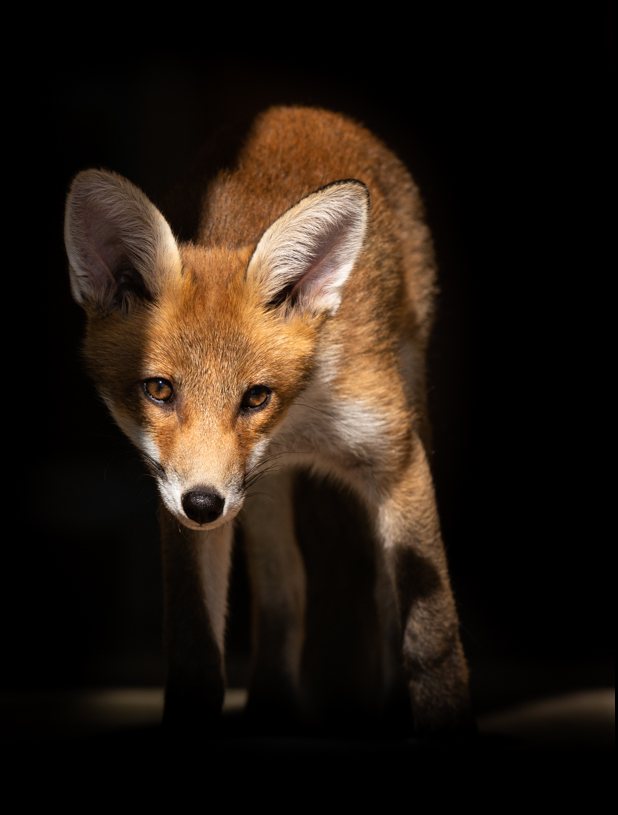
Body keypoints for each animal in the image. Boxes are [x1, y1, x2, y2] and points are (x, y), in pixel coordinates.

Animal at [64, 106, 472, 736]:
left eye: (256, 397)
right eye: (159, 390)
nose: (202, 504)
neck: (300, 423)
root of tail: (301, 112)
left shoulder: (393, 456)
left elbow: (429, 634)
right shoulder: (180, 489)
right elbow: (194, 649)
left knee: (380, 594)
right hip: (261, 498)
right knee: (286, 595)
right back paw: (271, 709)